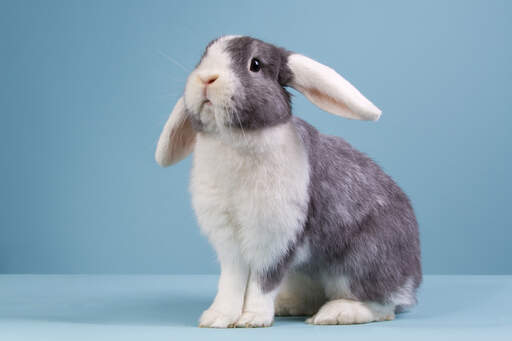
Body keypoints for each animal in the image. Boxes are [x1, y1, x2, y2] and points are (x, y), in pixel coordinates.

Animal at [155, 35, 420, 326]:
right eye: (202, 58)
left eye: (255, 64)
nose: (206, 78)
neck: (233, 139)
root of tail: (412, 279)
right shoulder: (229, 244)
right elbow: (231, 281)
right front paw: (217, 318)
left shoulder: (274, 239)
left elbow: (262, 282)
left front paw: (252, 319)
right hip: (305, 274)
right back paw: (287, 304)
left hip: (362, 262)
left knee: (382, 307)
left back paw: (334, 313)